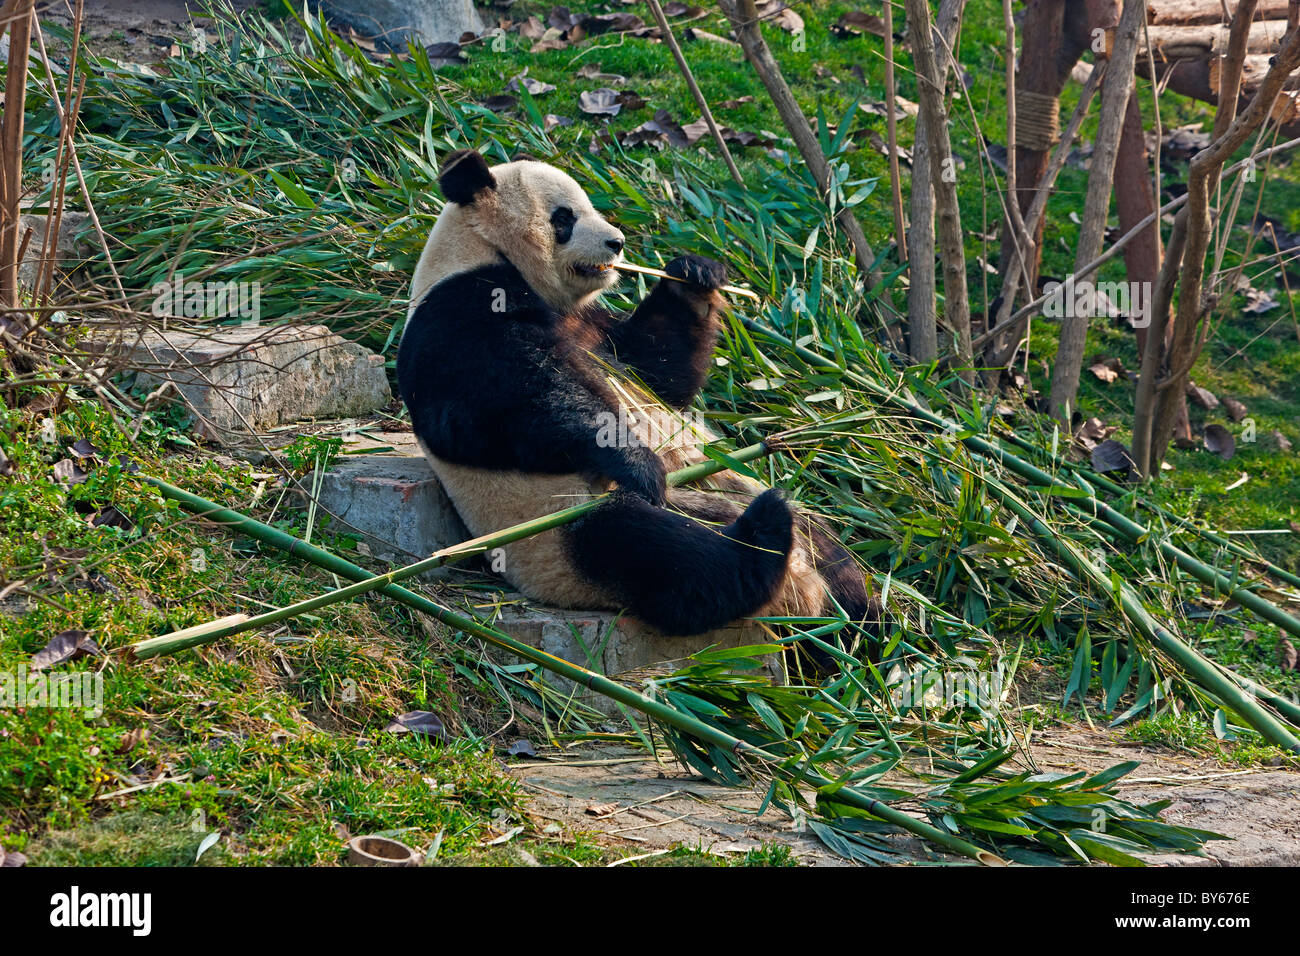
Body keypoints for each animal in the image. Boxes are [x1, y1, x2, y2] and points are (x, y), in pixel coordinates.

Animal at [392, 149, 873, 655]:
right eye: (565, 218)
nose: (616, 242)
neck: (482, 250)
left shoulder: (594, 326)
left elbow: (660, 369)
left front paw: (694, 275)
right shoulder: (458, 313)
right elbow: (503, 405)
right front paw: (635, 459)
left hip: (718, 489)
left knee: (832, 557)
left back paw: (859, 619)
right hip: (558, 527)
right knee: (662, 554)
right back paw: (764, 534)